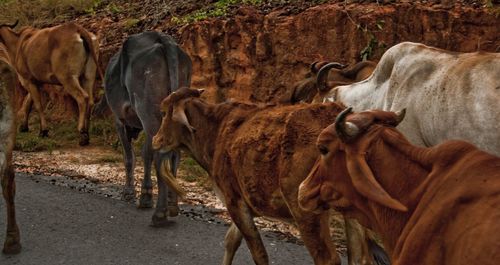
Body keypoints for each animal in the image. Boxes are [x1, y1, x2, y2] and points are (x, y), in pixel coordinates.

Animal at [102, 31, 190, 225]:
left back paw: (160, 213)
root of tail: (163, 39)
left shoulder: (119, 121)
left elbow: (130, 157)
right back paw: (172, 204)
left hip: (148, 110)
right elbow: (146, 153)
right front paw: (146, 194)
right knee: (174, 154)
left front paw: (130, 192)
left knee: (162, 156)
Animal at [153, 87, 348, 264]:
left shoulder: (234, 201)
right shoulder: (243, 202)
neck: (215, 131)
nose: (156, 140)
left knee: (328, 259)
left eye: (163, 112)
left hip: (306, 211)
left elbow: (258, 253)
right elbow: (231, 241)